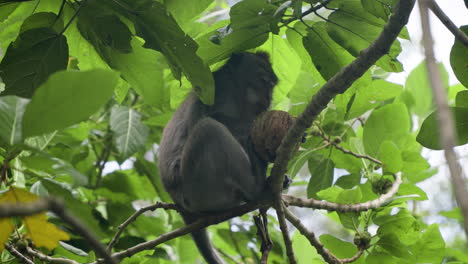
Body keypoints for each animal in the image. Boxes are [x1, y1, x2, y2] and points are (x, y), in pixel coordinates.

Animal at [159, 52, 280, 264]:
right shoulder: (217, 89)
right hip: (198, 189)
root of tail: (183, 208)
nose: (268, 99)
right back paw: (257, 189)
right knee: (208, 128)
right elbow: (209, 120)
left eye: (272, 84)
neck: (237, 94)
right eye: (263, 80)